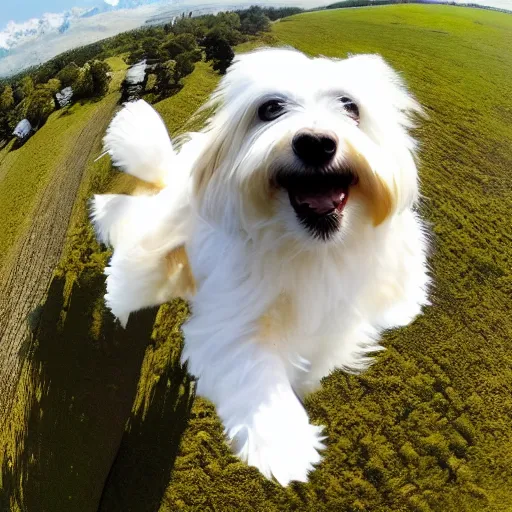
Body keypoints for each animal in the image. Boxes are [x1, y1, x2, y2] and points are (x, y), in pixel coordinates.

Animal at [90, 49, 430, 488]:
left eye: (350, 106)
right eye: (270, 108)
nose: (315, 142)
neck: (312, 249)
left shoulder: (340, 322)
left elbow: (316, 359)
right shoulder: (232, 320)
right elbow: (254, 371)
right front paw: (284, 443)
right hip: (151, 256)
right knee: (130, 275)